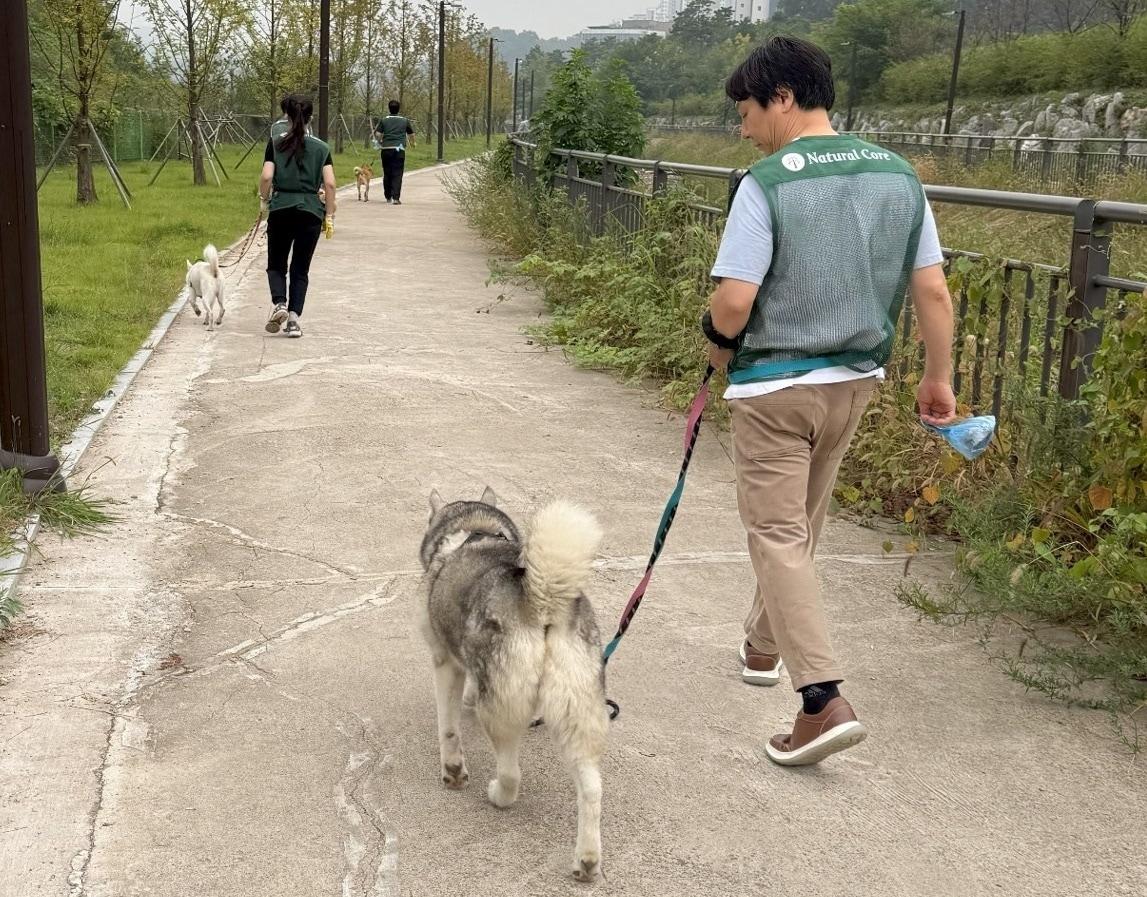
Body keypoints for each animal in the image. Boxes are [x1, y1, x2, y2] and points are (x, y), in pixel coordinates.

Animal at [419, 488, 610, 880]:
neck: (474, 530)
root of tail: (541, 602)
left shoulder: (444, 661)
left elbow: (448, 729)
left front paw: (453, 771)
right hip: (577, 714)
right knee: (592, 789)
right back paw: (587, 860)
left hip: (501, 712)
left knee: (510, 773)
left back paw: (498, 795)